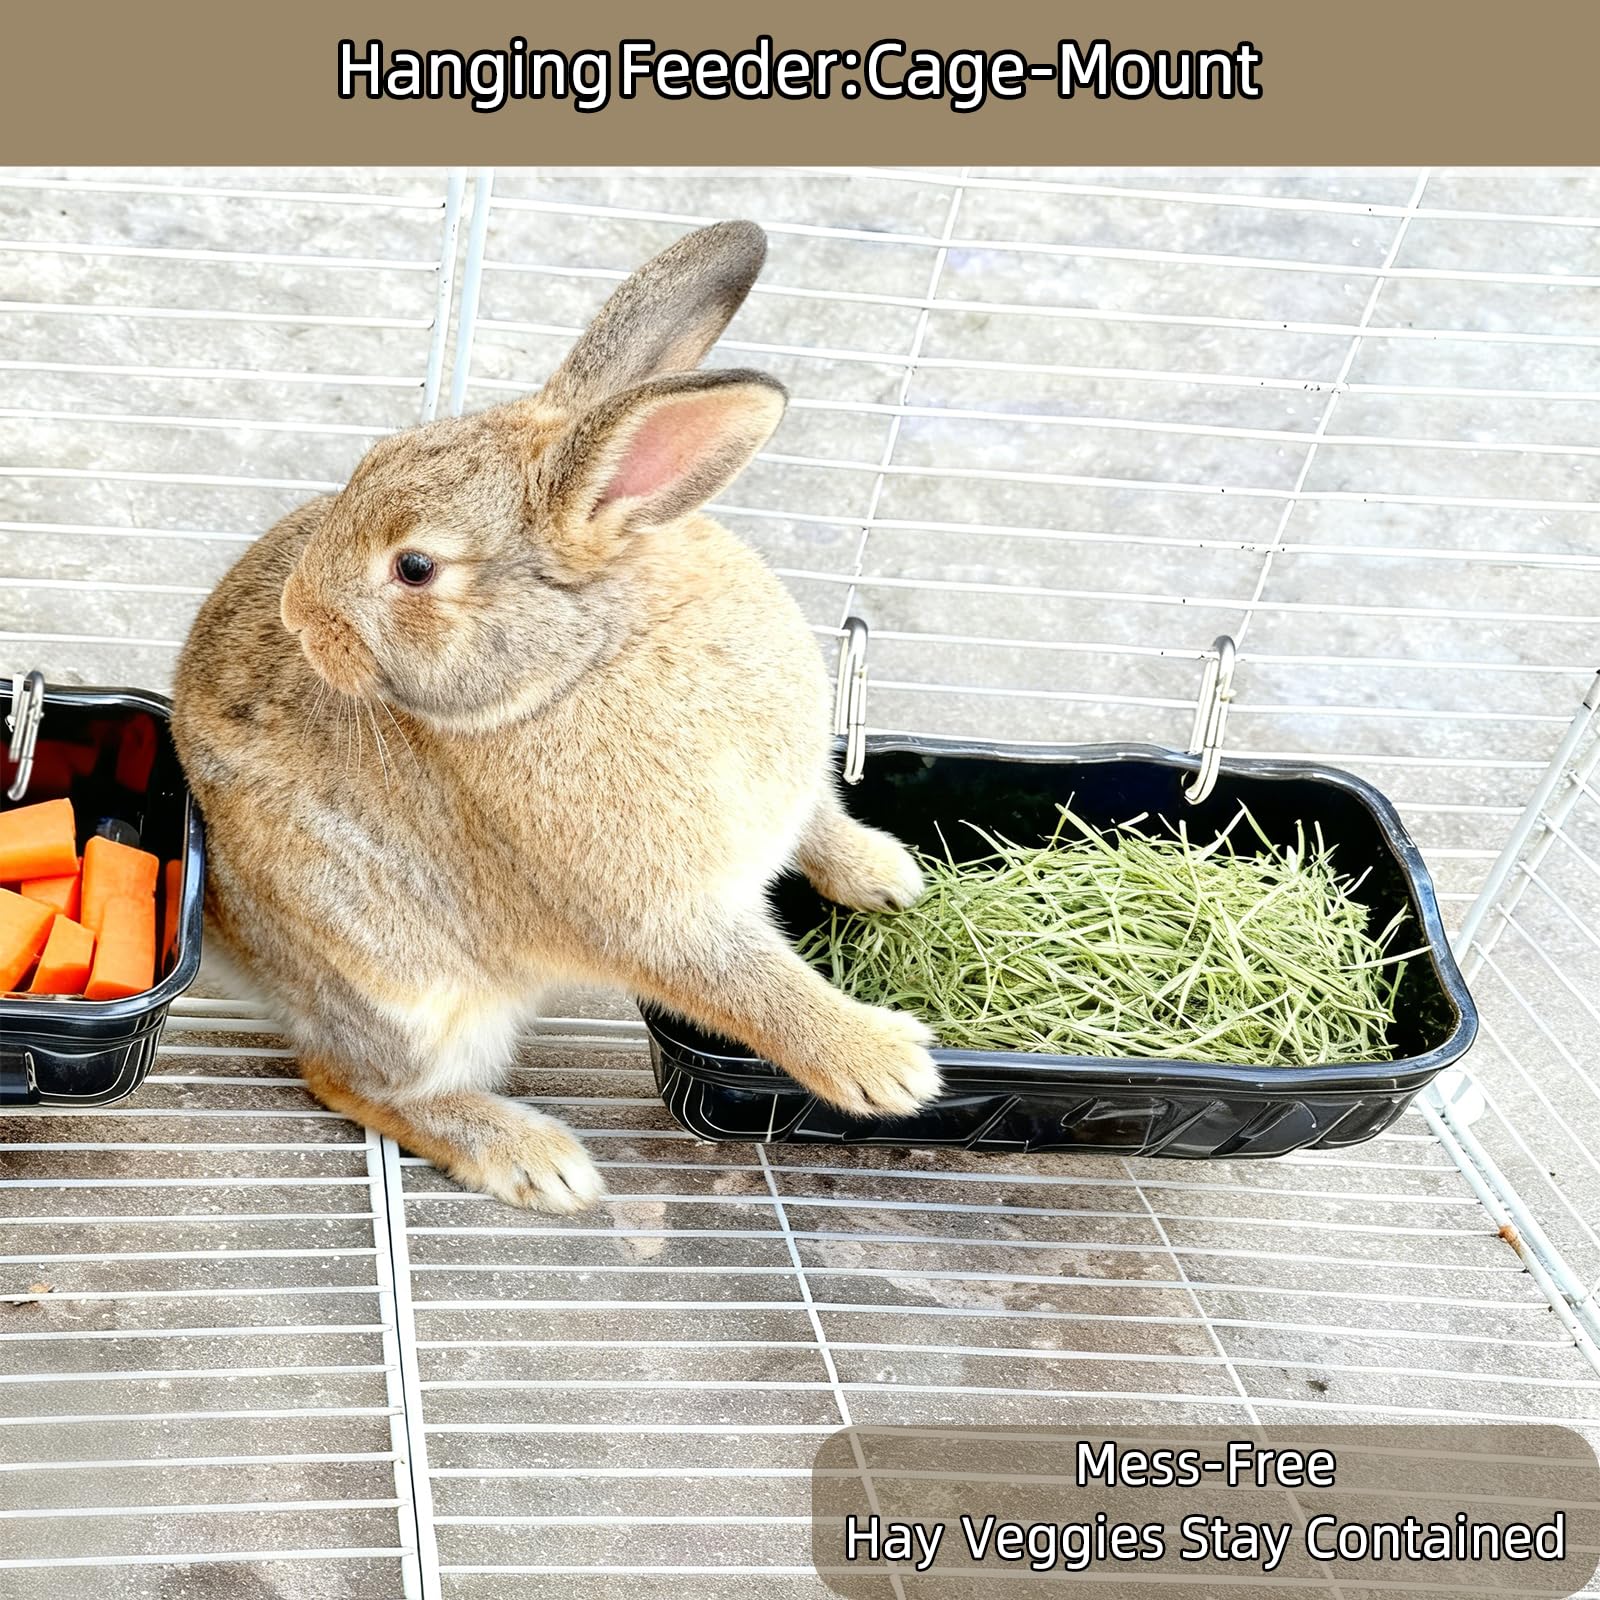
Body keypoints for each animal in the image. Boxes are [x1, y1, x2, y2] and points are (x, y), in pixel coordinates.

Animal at [171, 220, 942, 1214]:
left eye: (414, 567)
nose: (299, 615)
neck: (599, 651)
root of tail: (236, 945)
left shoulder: (788, 798)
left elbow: (820, 824)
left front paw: (889, 875)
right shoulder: (655, 916)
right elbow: (757, 988)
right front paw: (890, 1066)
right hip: (408, 995)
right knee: (352, 1081)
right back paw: (538, 1161)